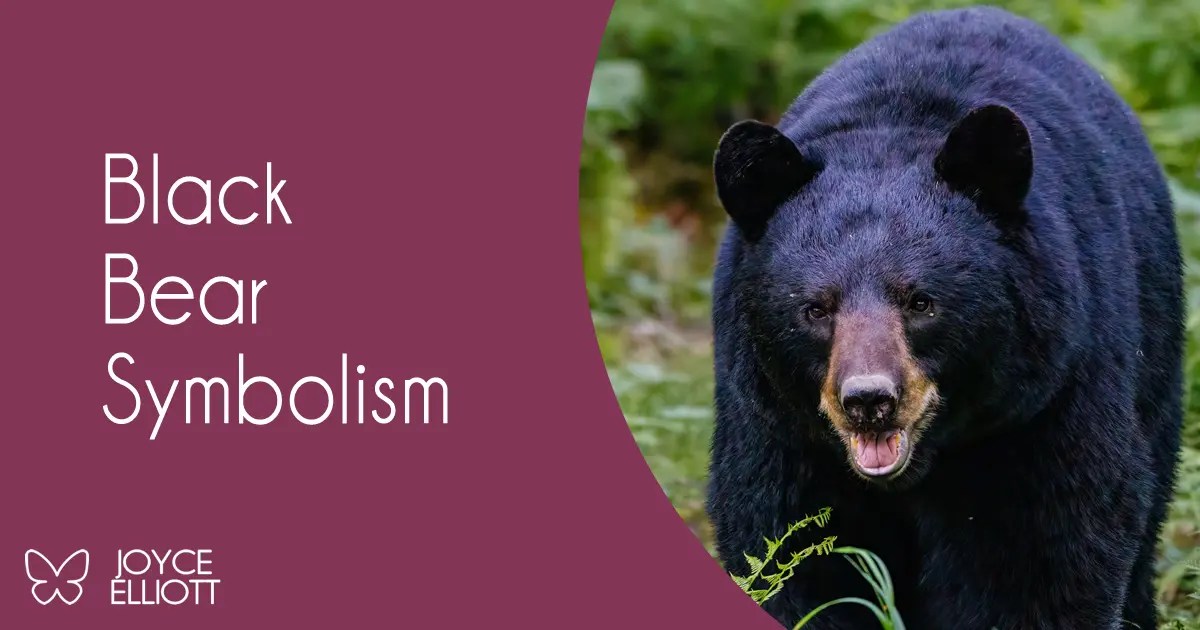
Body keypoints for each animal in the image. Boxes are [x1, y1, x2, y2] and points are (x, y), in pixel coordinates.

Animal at [706, 7, 1183, 630]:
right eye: (814, 309)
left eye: (921, 302)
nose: (869, 400)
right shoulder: (775, 424)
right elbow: (784, 543)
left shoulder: (1047, 398)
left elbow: (1043, 553)